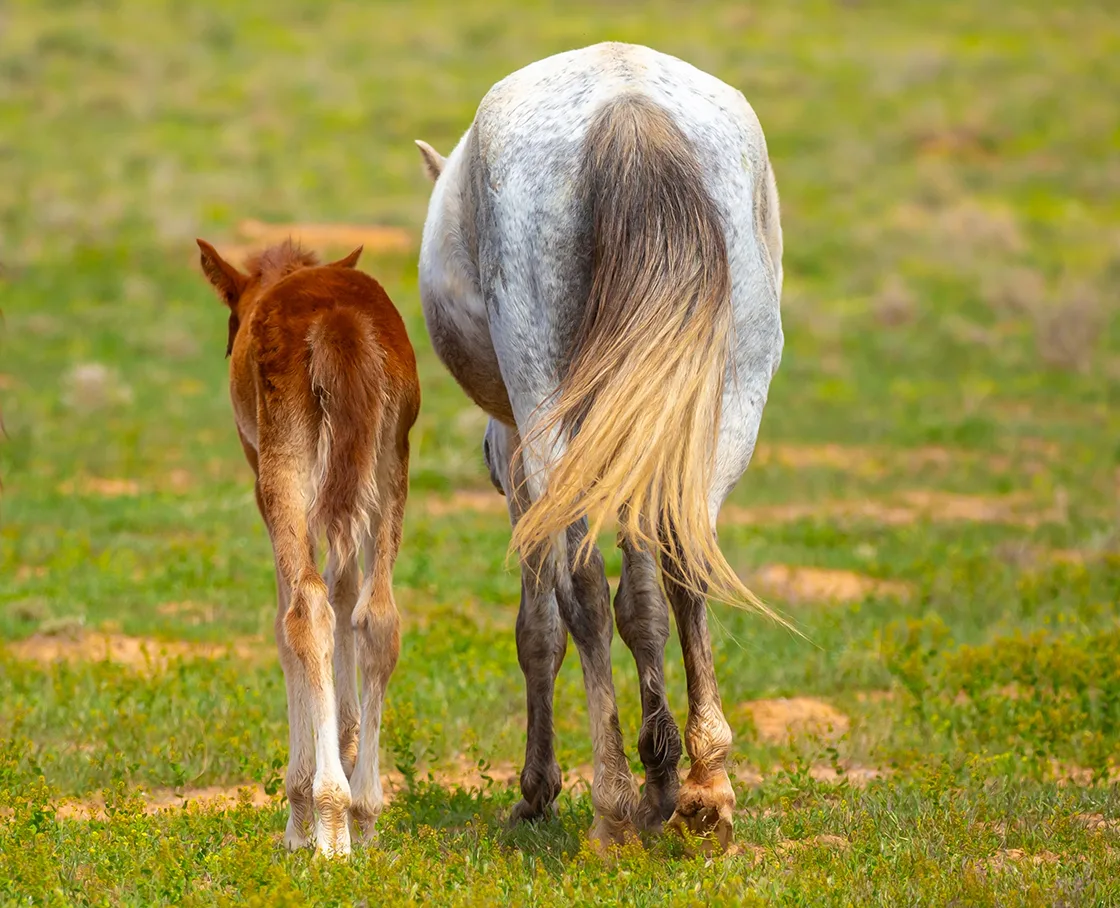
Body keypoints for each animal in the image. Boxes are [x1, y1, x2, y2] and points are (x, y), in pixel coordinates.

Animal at [196, 238, 420, 857]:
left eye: (230, 321)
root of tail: (338, 322)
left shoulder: (264, 484)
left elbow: (284, 622)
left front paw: (297, 817)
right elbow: (347, 599)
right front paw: (342, 744)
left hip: (286, 471)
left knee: (307, 612)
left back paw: (329, 824)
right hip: (389, 463)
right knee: (379, 617)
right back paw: (363, 813)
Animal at [415, 42, 784, 850]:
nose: (486, 460)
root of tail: (627, 99)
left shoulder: (528, 466)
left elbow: (541, 627)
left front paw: (540, 792)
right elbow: (643, 603)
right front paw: (663, 779)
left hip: (547, 423)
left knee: (580, 591)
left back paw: (611, 809)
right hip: (725, 405)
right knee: (685, 557)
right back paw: (706, 791)